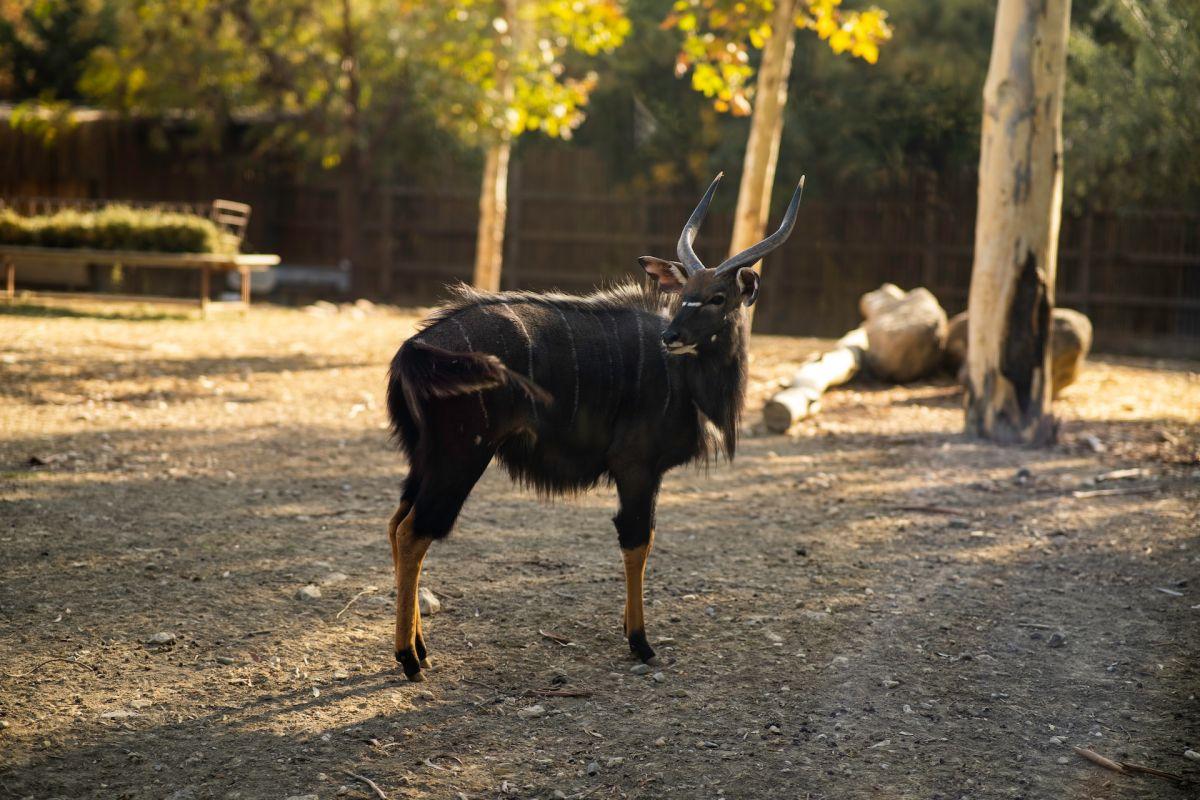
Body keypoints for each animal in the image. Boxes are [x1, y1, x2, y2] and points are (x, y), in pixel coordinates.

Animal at [388, 172, 801, 681]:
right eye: (685, 294)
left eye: (718, 297)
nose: (671, 336)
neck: (686, 377)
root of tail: (414, 348)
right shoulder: (635, 466)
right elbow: (637, 539)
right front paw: (640, 642)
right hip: (460, 458)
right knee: (414, 532)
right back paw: (409, 660)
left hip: (425, 460)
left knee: (397, 524)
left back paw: (420, 648)